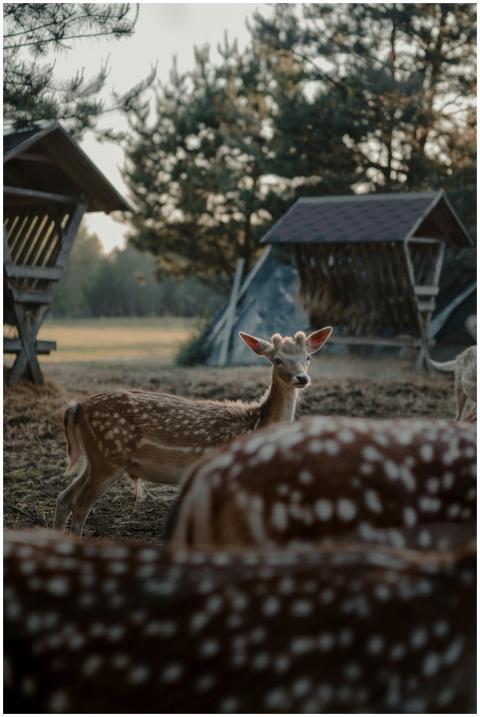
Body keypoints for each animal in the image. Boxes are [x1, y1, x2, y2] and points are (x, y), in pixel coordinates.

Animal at [54, 327, 332, 535]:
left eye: (308, 358)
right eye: (278, 360)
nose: (302, 378)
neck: (256, 424)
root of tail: (76, 407)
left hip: (95, 459)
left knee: (64, 497)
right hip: (108, 458)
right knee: (80, 506)